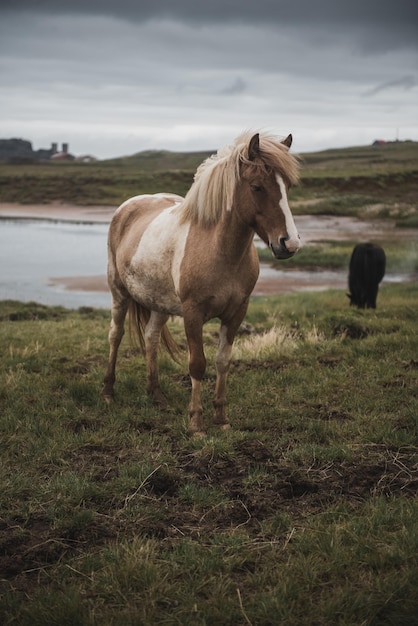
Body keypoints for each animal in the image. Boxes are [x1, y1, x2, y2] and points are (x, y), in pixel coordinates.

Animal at [103, 130, 300, 434]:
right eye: (257, 187)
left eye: (287, 186)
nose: (289, 244)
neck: (219, 249)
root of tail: (129, 206)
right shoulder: (192, 313)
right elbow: (197, 364)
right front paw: (196, 422)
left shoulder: (237, 312)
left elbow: (222, 361)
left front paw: (221, 417)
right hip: (119, 292)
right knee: (116, 334)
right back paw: (109, 391)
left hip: (159, 302)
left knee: (151, 337)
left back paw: (156, 394)